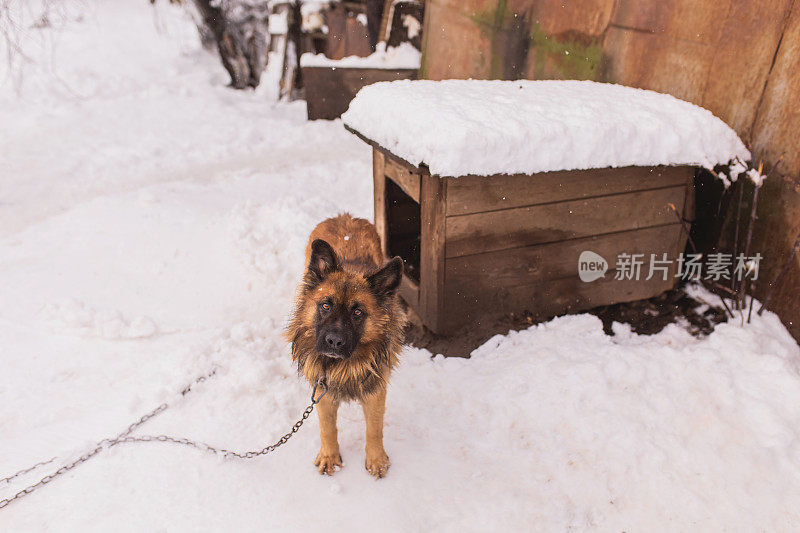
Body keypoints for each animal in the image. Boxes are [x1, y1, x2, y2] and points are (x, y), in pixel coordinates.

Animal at [286, 214, 406, 476]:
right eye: (326, 305)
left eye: (357, 312)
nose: (333, 341)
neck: (344, 366)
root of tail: (344, 216)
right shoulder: (322, 389)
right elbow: (327, 427)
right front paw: (329, 457)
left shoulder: (375, 390)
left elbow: (374, 428)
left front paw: (376, 460)